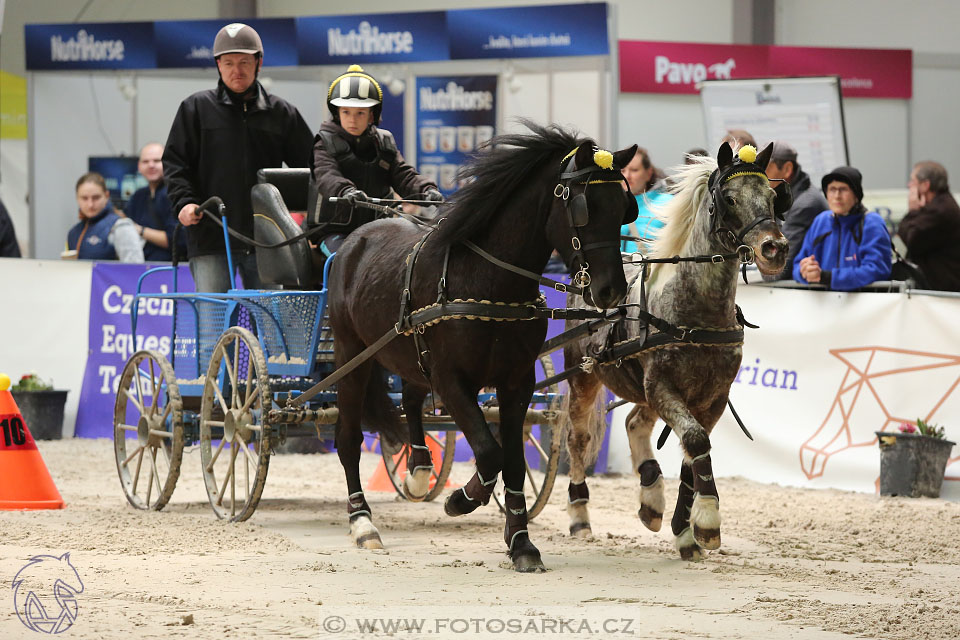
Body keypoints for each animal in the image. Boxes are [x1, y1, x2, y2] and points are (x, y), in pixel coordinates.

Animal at [328, 122, 636, 572]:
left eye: (625, 208)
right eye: (585, 206)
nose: (612, 290)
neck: (488, 281)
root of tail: (357, 238)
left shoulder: (517, 383)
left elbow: (512, 460)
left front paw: (521, 541)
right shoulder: (453, 382)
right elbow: (490, 452)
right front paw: (463, 498)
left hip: (410, 354)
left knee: (411, 399)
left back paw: (418, 469)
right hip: (352, 356)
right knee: (348, 437)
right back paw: (362, 521)